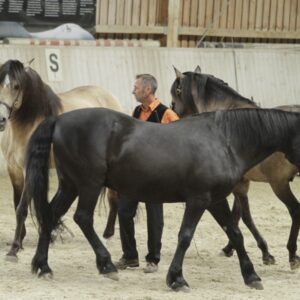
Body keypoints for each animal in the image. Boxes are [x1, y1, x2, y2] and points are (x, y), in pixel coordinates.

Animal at [0, 58, 123, 258]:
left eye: (17, 86)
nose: (1, 119)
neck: (28, 123)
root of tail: (110, 97)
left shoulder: (29, 169)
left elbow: (22, 207)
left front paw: (15, 248)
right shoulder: (14, 170)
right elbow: (16, 203)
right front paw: (22, 239)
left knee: (113, 196)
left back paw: (107, 235)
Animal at [24, 107, 300, 290]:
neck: (225, 141)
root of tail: (60, 119)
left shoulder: (215, 200)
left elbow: (235, 234)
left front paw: (251, 276)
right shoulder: (198, 200)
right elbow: (185, 236)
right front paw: (176, 279)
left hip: (69, 185)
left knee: (50, 215)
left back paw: (43, 267)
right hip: (88, 185)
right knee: (82, 218)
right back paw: (106, 265)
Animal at [170, 67, 300, 268]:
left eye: (176, 92)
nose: (172, 109)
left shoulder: (239, 185)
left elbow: (243, 217)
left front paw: (264, 252)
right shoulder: (241, 183)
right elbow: (237, 215)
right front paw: (231, 248)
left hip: (279, 184)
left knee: (295, 210)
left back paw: (292, 253)